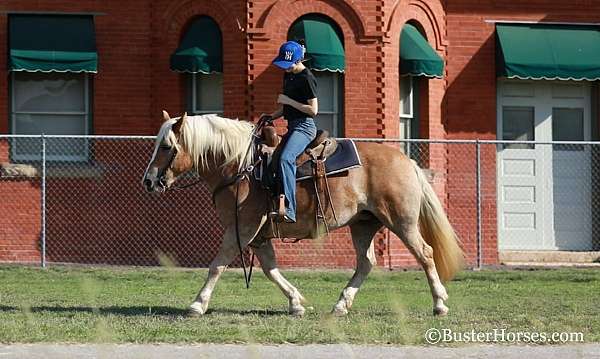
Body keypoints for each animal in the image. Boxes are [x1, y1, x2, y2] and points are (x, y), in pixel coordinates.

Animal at [143, 112, 462, 318]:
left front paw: (198, 304)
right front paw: (296, 302)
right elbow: (270, 269)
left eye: (167, 146)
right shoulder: (258, 234)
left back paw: (440, 303)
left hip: (401, 222)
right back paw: (341, 305)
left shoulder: (242, 228)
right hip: (363, 224)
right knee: (366, 263)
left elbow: (217, 266)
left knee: (425, 254)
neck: (240, 166)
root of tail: (406, 160)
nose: (148, 181)